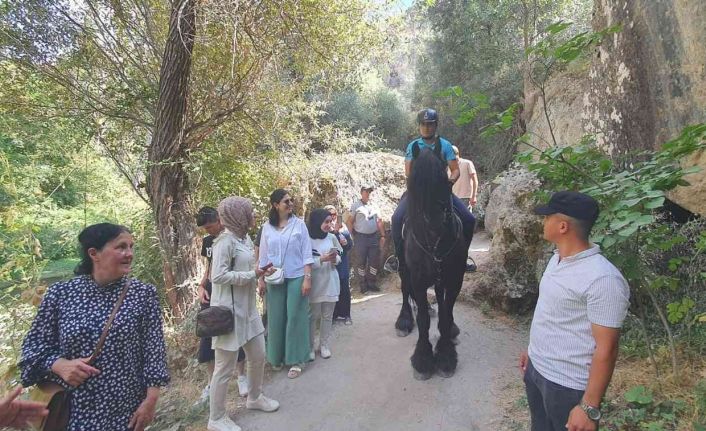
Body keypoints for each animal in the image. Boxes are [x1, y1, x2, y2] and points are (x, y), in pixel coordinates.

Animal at [396, 143, 468, 380]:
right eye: (415, 183)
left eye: (443, 178)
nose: (436, 224)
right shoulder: (418, 279)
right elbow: (423, 320)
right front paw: (423, 359)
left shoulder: (454, 279)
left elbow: (445, 315)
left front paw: (445, 356)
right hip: (404, 269)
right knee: (405, 289)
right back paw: (404, 320)